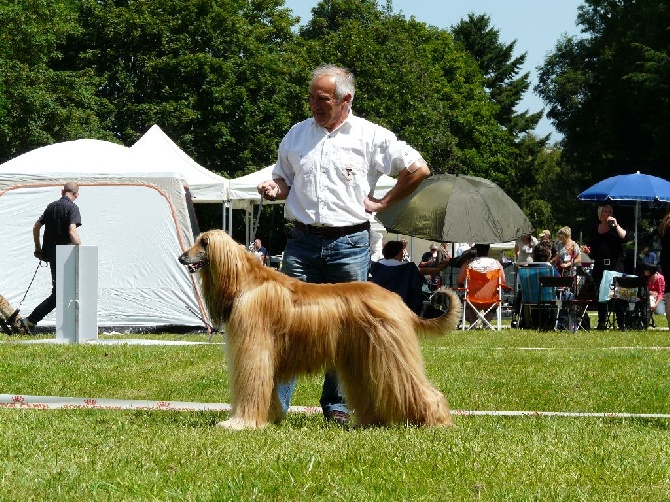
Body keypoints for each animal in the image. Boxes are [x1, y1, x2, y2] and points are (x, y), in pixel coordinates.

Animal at [178, 229, 462, 430]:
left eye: (203, 243)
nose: (181, 257)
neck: (246, 282)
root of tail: (398, 301)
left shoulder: (253, 350)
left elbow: (251, 385)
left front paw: (239, 423)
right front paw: (270, 417)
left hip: (391, 352)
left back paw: (437, 420)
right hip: (365, 357)